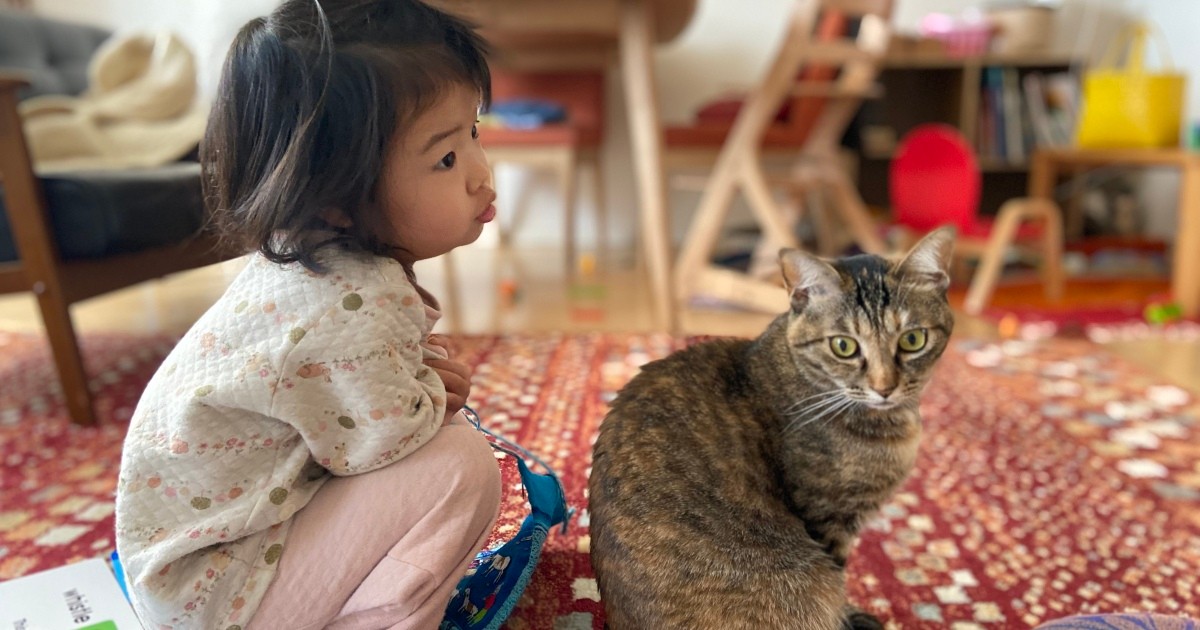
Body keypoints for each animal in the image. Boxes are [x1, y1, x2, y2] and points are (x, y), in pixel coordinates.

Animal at [590, 226, 955, 628]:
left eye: (913, 339)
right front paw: (850, 613)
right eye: (843, 346)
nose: (884, 387)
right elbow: (841, 578)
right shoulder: (828, 518)